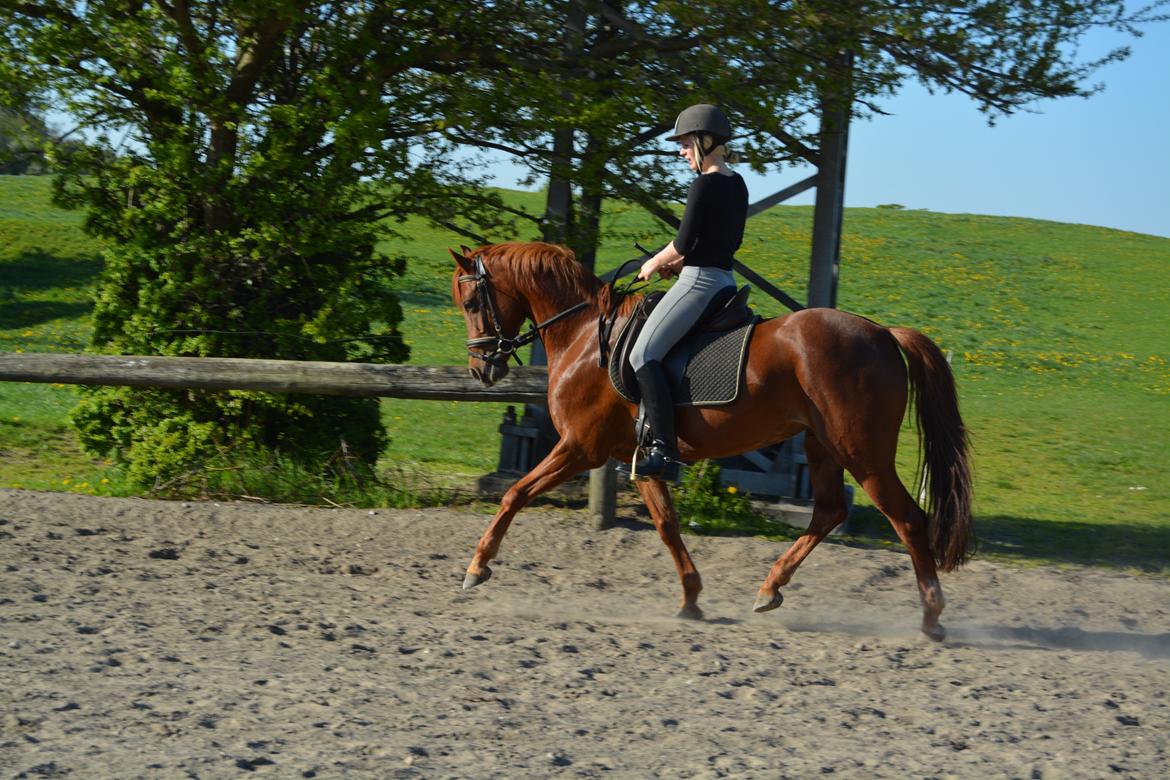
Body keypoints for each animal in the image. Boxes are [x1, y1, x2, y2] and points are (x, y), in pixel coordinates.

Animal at [451, 242, 973, 640]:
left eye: (472, 303)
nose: (481, 369)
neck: (584, 336)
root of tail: (882, 332)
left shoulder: (580, 447)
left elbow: (515, 493)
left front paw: (476, 568)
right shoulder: (638, 457)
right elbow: (667, 525)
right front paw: (691, 599)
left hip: (862, 453)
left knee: (908, 519)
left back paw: (931, 618)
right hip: (822, 446)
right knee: (829, 512)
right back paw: (769, 589)